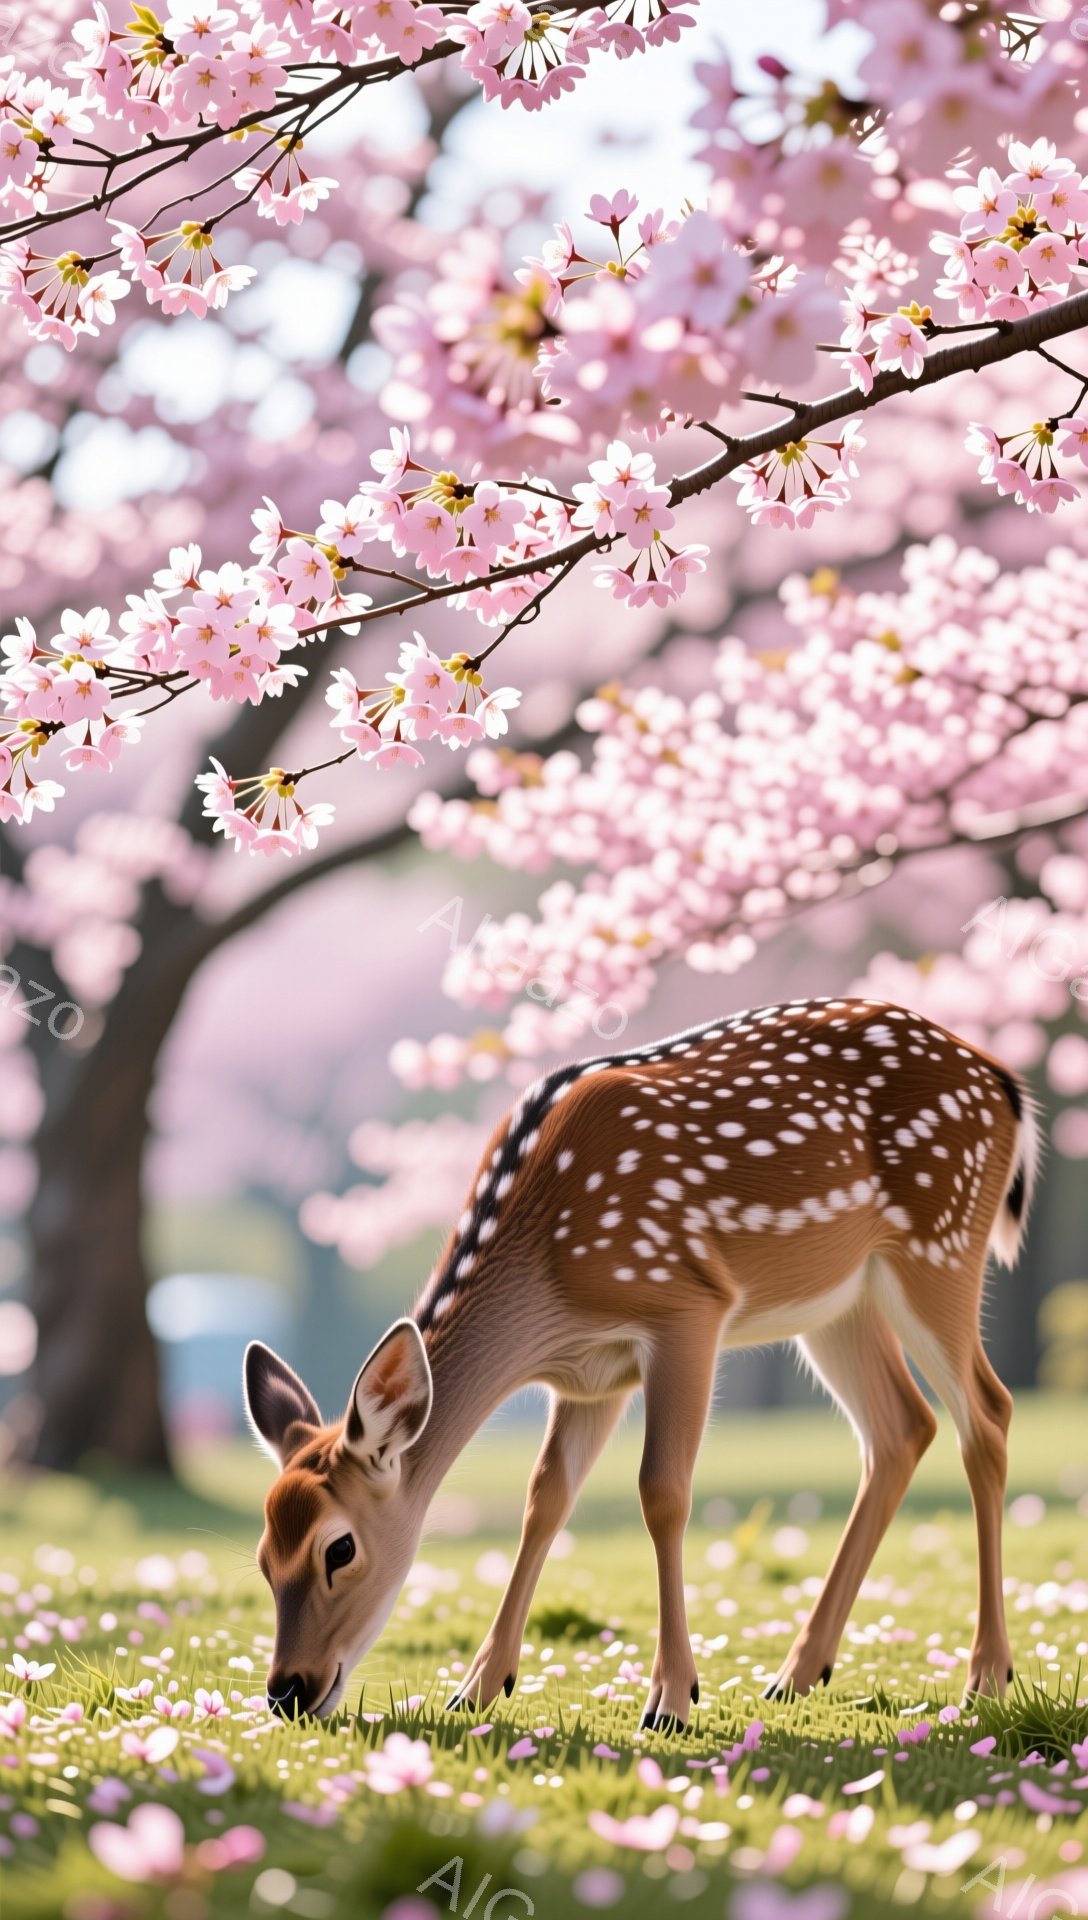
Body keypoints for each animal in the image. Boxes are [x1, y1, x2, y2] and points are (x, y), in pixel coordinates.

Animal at [243, 996, 1038, 1729]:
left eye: (339, 1548)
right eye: (262, 1557)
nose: (288, 1692)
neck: (548, 1269)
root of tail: (1005, 1086)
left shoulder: (686, 1304)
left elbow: (662, 1491)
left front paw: (672, 1700)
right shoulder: (590, 1375)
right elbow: (545, 1498)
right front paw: (479, 1686)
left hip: (940, 1241)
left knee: (987, 1412)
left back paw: (986, 1677)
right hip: (838, 1300)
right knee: (901, 1427)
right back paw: (797, 1673)